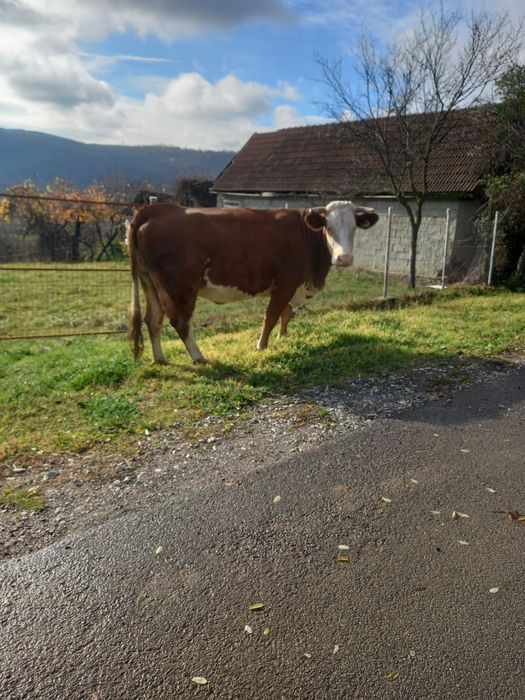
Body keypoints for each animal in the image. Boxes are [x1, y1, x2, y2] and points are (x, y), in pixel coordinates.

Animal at [127, 201, 379, 364]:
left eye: (354, 227)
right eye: (329, 227)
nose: (344, 258)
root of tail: (157, 209)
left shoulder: (287, 287)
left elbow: (286, 314)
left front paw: (282, 337)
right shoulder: (286, 283)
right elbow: (271, 316)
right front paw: (262, 346)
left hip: (150, 282)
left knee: (153, 319)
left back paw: (160, 359)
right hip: (180, 287)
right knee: (180, 321)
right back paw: (199, 358)